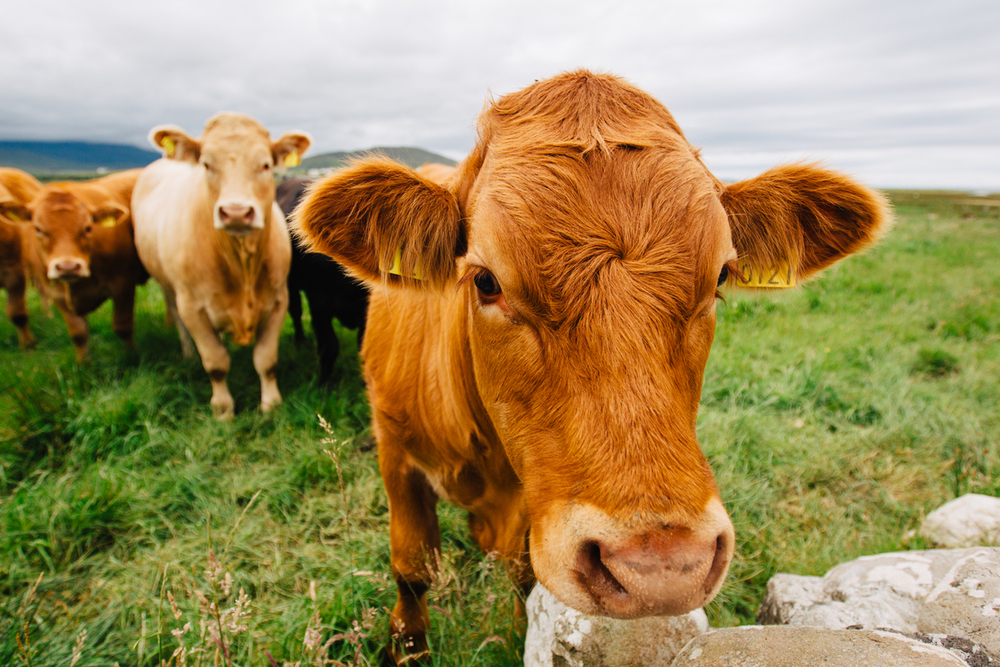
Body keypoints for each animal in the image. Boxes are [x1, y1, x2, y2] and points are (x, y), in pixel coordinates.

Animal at [0, 170, 146, 362]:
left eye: (88, 228)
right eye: (38, 229)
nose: (67, 267)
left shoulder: (123, 285)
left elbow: (123, 326)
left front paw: (132, 357)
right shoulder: (58, 294)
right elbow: (78, 333)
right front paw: (84, 364)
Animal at [131, 112, 308, 420]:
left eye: (265, 164)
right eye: (206, 164)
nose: (236, 212)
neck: (240, 261)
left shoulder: (278, 300)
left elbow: (266, 360)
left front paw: (271, 406)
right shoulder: (193, 308)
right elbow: (215, 363)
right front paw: (224, 411)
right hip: (167, 287)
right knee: (178, 320)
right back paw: (189, 354)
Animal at [292, 69, 892, 664]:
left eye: (720, 276)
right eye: (485, 281)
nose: (660, 569)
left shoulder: (529, 498)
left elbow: (523, 573)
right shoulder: (394, 450)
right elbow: (412, 566)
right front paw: (409, 648)